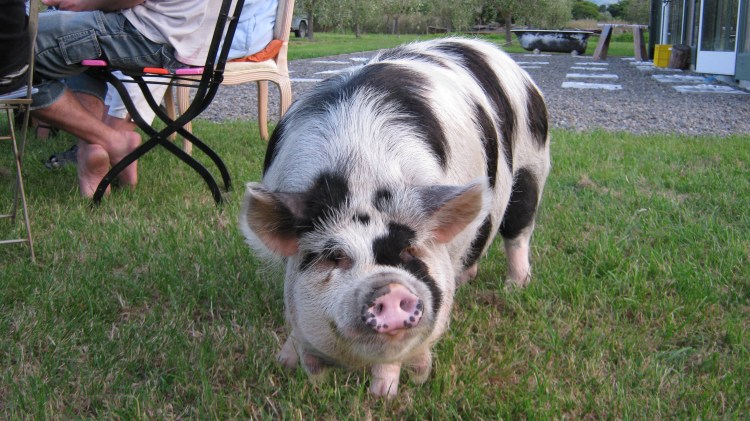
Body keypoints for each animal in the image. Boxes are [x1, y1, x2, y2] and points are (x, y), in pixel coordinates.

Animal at [239, 37, 550, 398]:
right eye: (335, 256)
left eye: (409, 250)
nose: (390, 290)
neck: (361, 172)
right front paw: (285, 363)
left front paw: (383, 395)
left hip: (532, 168)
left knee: (518, 232)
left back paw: (515, 286)